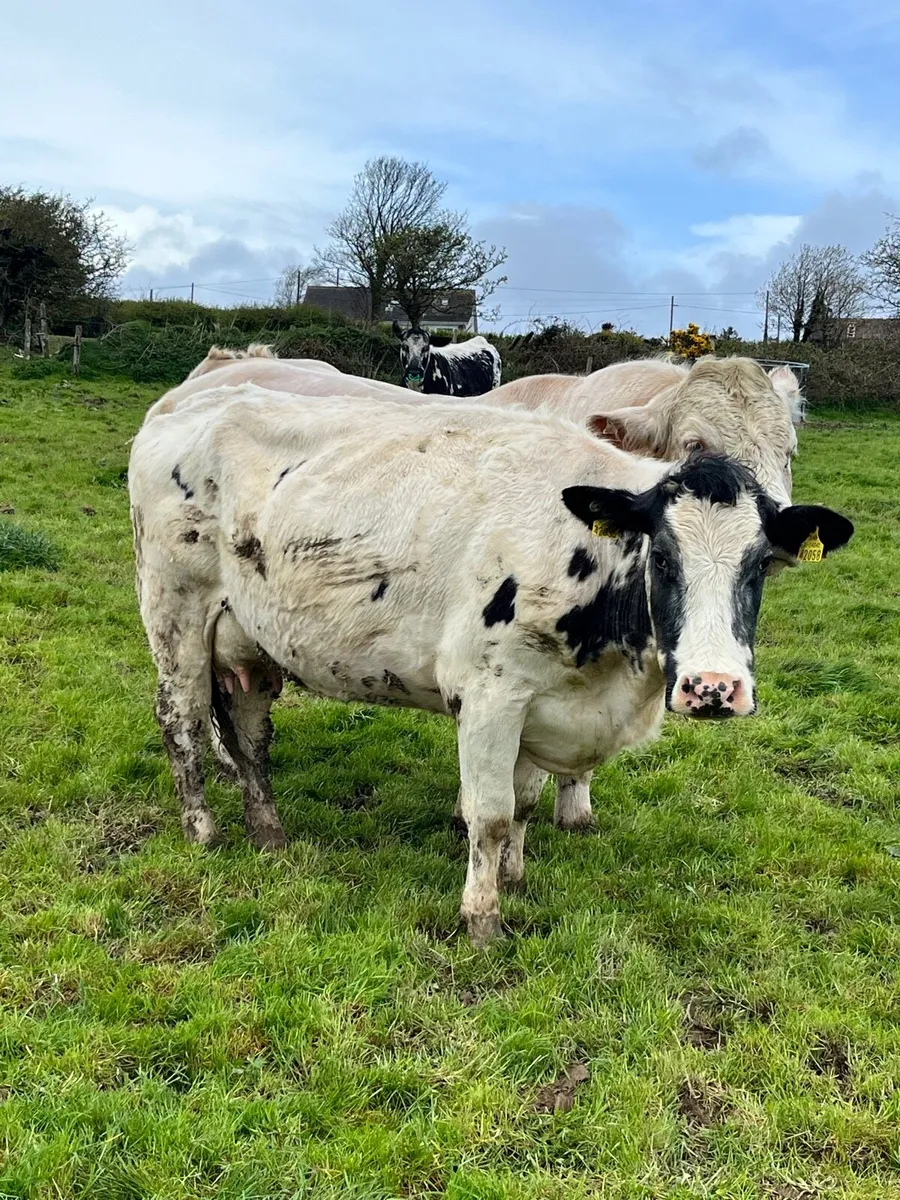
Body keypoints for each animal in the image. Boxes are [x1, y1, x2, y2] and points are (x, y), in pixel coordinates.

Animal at [128, 385, 852, 945]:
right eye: (664, 556)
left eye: (760, 564)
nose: (714, 688)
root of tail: (187, 404)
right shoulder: (489, 693)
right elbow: (492, 812)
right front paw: (482, 917)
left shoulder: (544, 700)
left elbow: (526, 803)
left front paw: (514, 876)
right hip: (175, 612)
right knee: (181, 721)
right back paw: (203, 829)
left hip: (250, 639)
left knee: (250, 735)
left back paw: (270, 831)